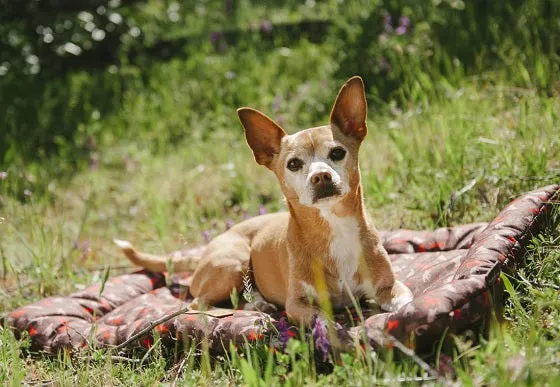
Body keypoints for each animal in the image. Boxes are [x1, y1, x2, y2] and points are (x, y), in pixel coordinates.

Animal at [115, 77, 412, 326]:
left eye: (338, 153)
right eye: (293, 164)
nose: (321, 176)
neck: (333, 227)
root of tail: (206, 250)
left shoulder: (388, 286)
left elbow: (403, 299)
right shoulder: (297, 305)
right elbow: (324, 321)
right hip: (232, 263)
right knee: (198, 303)